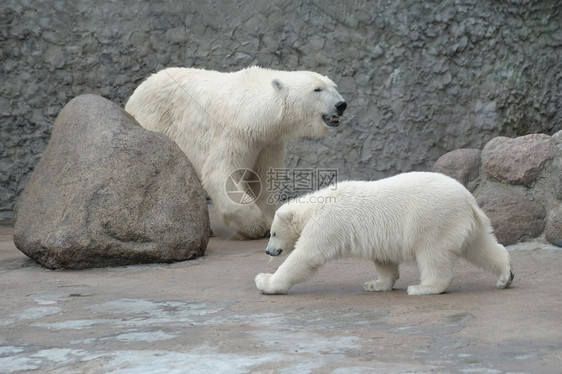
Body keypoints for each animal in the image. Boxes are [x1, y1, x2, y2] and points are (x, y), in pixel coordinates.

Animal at [126, 66, 344, 238]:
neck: (255, 111)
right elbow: (220, 173)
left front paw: (269, 222)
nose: (341, 105)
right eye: (317, 89)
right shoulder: (236, 133)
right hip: (156, 122)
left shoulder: (268, 142)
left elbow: (263, 180)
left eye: (334, 86)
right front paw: (255, 226)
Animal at [255, 172, 512, 296]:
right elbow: (384, 261)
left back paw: (423, 287)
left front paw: (265, 281)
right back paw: (505, 276)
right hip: (465, 223)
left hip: (433, 218)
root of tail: (469, 199)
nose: (268, 251)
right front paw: (375, 284)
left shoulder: (328, 223)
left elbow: (306, 256)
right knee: (482, 246)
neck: (316, 206)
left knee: (433, 254)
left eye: (273, 233)